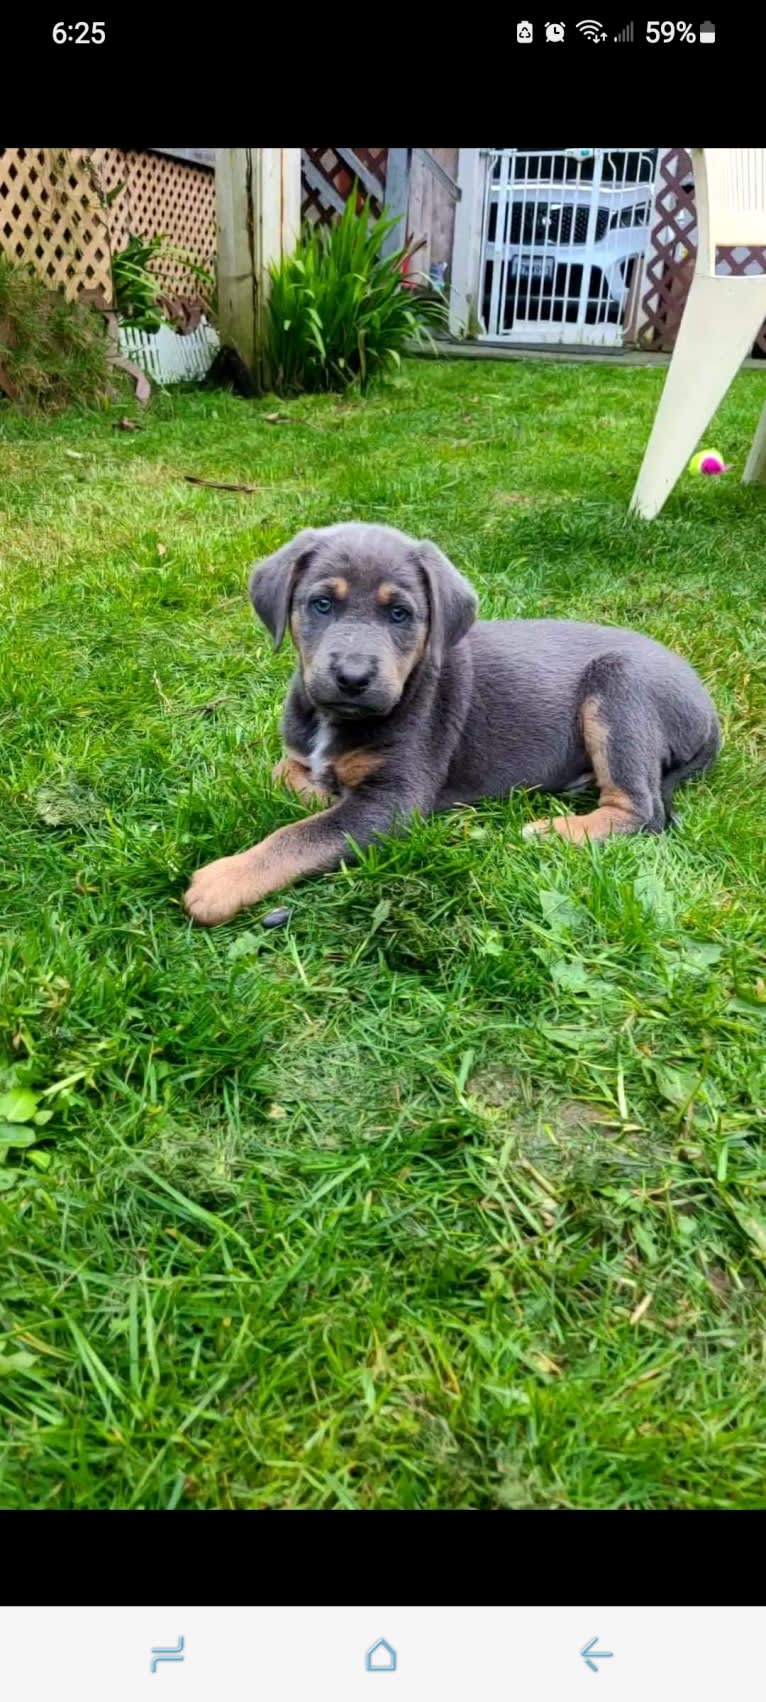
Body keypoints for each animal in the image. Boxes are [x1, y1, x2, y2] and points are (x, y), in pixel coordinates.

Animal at [182, 520, 721, 932]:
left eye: (400, 614)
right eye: (322, 604)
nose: (353, 678)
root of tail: (708, 708)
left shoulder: (395, 802)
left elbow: (302, 834)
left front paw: (224, 880)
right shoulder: (302, 756)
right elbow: (287, 777)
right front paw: (323, 788)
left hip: (620, 688)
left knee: (641, 810)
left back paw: (551, 831)